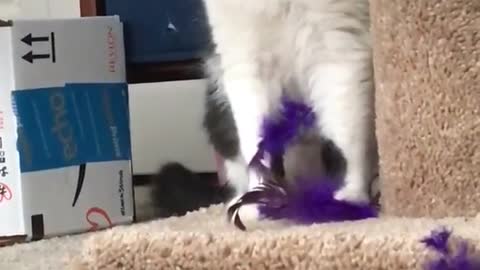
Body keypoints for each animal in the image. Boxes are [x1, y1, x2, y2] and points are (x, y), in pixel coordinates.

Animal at [201, 0, 376, 226]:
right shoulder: (245, 66)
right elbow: (257, 148)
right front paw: (260, 199)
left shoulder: (340, 50)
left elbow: (346, 138)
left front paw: (348, 197)